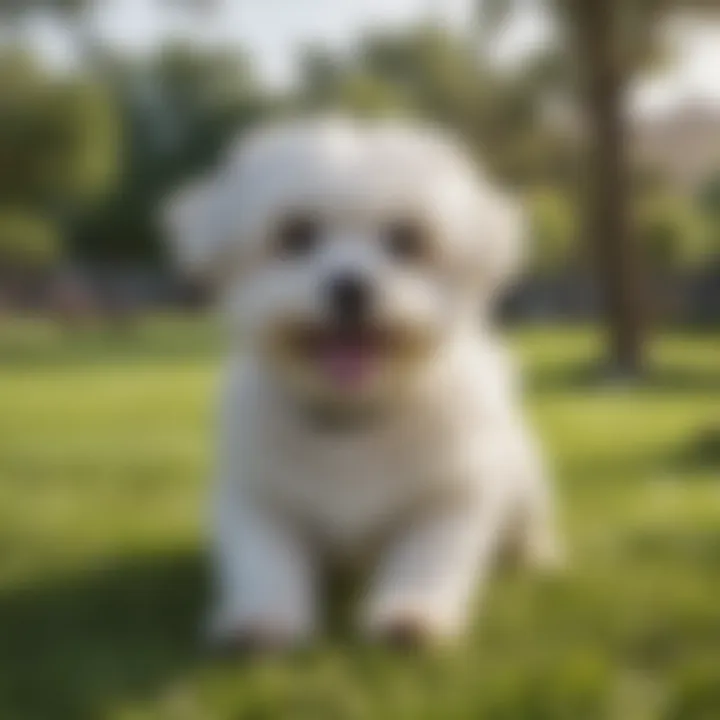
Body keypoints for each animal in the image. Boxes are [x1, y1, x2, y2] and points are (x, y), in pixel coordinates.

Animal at [165, 116, 564, 648]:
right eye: (295, 234)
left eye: (406, 238)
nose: (351, 287)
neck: (355, 417)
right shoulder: (259, 495)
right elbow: (264, 559)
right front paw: (263, 618)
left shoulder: (449, 496)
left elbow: (426, 558)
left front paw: (412, 614)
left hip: (521, 482)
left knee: (525, 522)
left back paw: (533, 556)